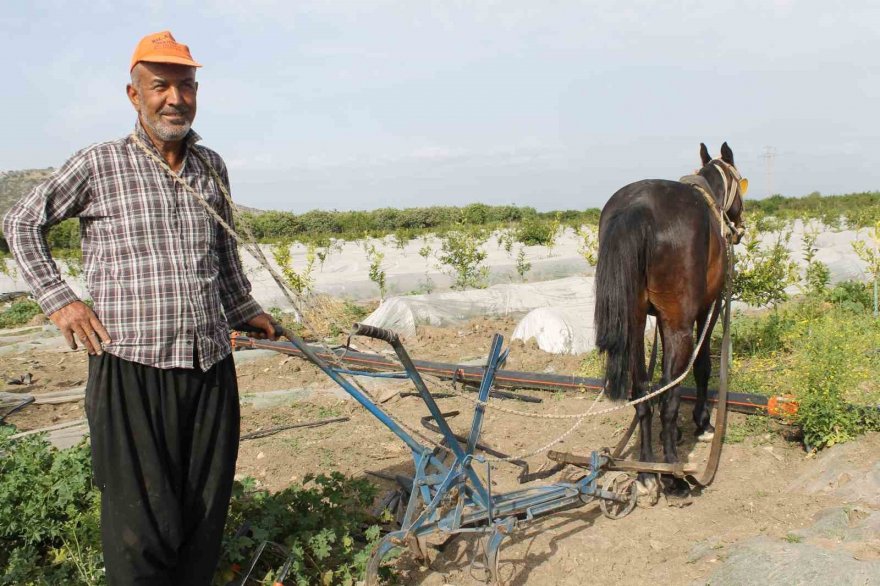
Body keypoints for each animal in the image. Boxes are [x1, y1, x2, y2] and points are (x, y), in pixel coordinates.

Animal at [596, 141, 744, 492]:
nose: (741, 225)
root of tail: (638, 208)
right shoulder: (706, 309)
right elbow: (701, 367)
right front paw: (702, 423)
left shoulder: (661, 319)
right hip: (681, 325)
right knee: (668, 397)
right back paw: (673, 472)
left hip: (635, 324)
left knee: (644, 392)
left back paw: (647, 470)